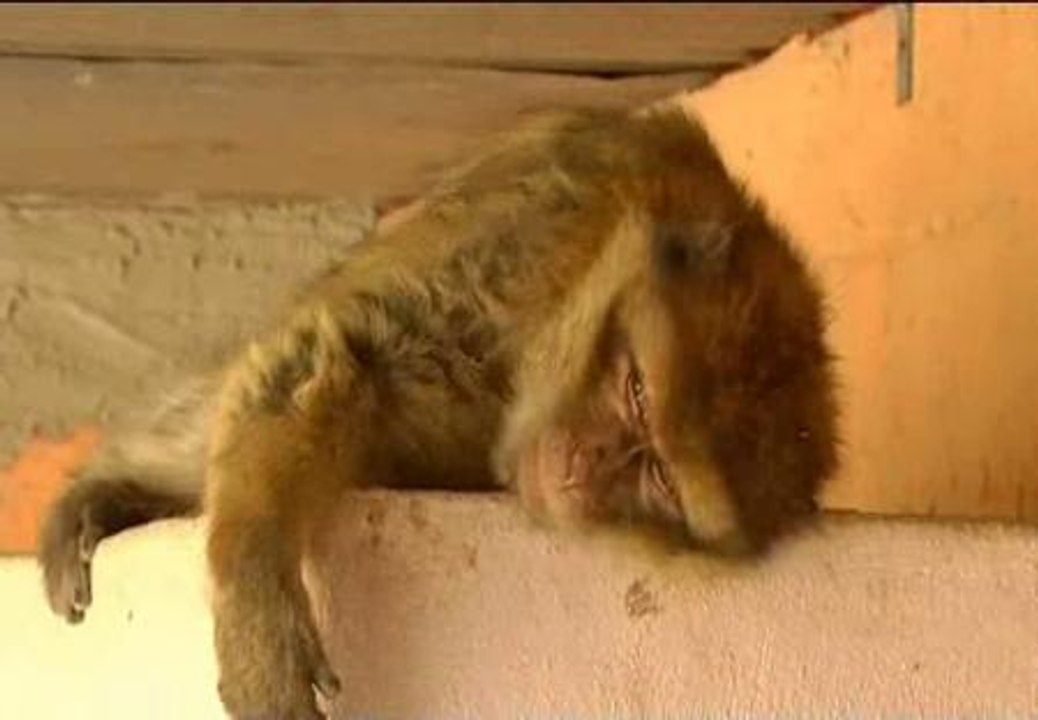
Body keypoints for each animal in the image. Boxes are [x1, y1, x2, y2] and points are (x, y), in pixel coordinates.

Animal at [37, 104, 839, 719]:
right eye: (636, 390)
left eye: (662, 478)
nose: (587, 464)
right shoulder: (532, 239)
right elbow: (332, 351)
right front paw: (259, 610)